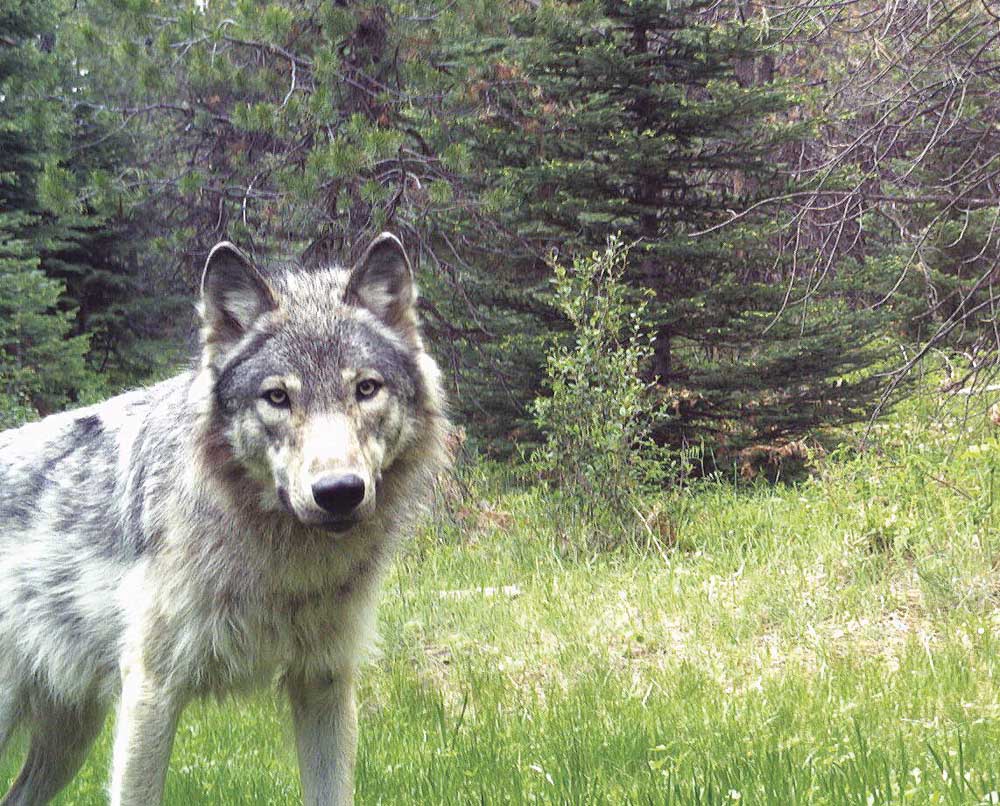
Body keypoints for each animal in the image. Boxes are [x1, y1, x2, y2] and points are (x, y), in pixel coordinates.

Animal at [0, 232, 448, 806]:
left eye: (366, 389)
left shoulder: (324, 681)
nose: (339, 493)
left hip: (70, 738)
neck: (283, 566)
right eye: (277, 396)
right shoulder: (153, 689)